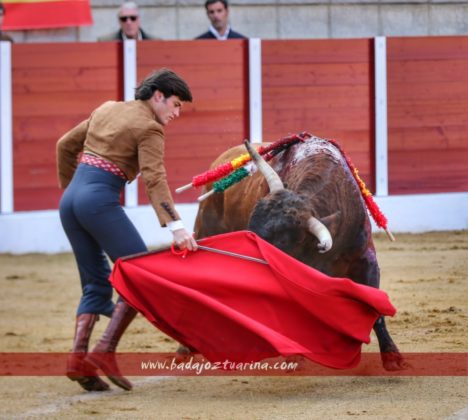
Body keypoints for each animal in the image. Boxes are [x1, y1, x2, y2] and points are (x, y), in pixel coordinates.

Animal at [194, 135, 406, 370]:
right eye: (251, 227)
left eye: (283, 241)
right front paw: (296, 354)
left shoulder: (366, 260)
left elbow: (375, 311)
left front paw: (392, 357)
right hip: (204, 228)